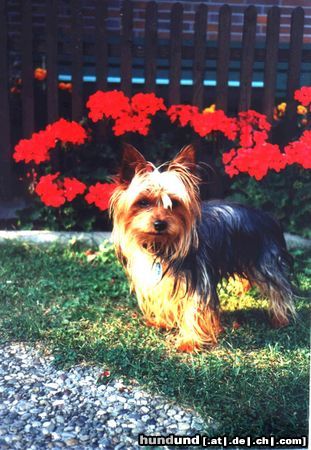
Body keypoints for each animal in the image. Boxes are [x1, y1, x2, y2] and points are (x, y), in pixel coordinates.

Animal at [109, 144, 298, 352]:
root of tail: (268, 216)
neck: (161, 245)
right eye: (143, 202)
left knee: (279, 288)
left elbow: (194, 308)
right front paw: (163, 321)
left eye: (174, 203)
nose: (159, 224)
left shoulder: (198, 278)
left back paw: (280, 318)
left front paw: (189, 341)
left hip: (266, 262)